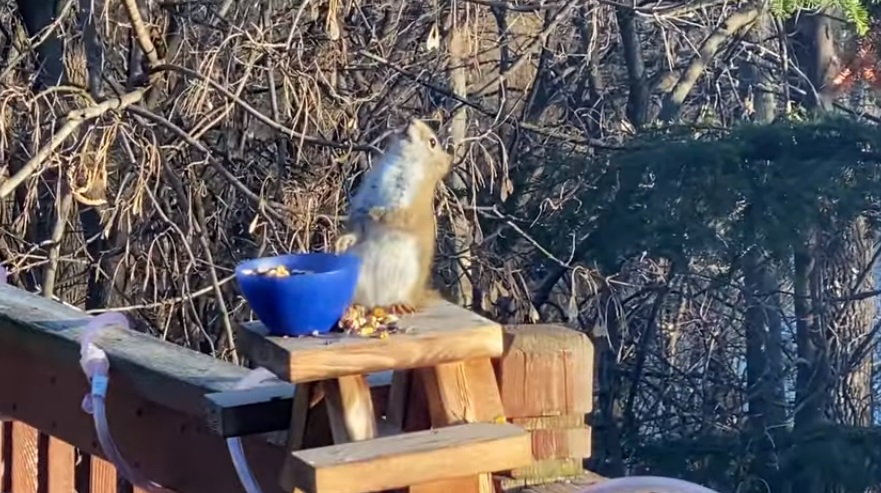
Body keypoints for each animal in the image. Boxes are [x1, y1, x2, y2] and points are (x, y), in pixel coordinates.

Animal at [334, 117, 450, 314]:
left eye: (432, 142)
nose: (411, 120)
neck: (400, 161)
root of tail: (376, 302)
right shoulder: (366, 194)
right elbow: (359, 222)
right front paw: (345, 240)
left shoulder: (413, 204)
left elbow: (399, 216)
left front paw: (376, 212)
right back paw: (352, 306)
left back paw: (400, 305)